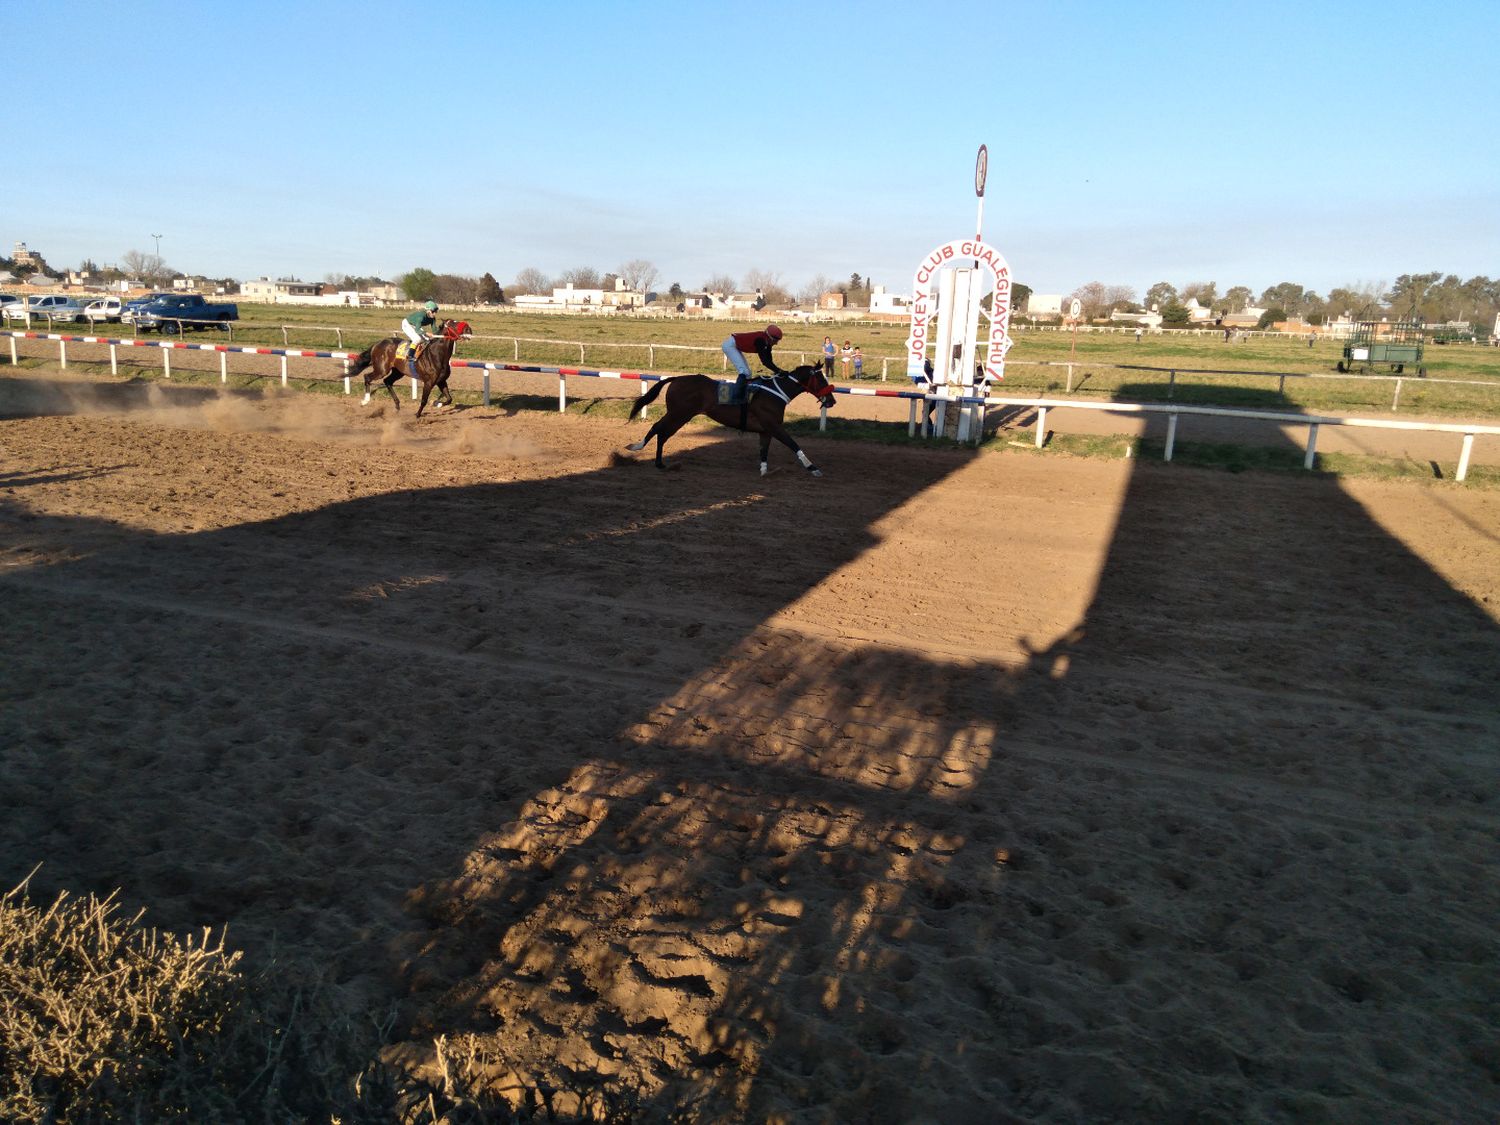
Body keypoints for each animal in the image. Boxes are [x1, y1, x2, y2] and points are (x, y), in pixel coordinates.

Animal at [621, 366, 834, 477]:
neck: (775, 393)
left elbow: (764, 450)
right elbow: (793, 444)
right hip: (679, 413)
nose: (832, 401)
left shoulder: (765, 430)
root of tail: (676, 379)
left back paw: (657, 461)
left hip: (679, 414)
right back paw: (641, 450)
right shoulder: (774, 426)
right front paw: (813, 468)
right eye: (822, 380)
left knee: (662, 432)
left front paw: (764, 470)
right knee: (659, 429)